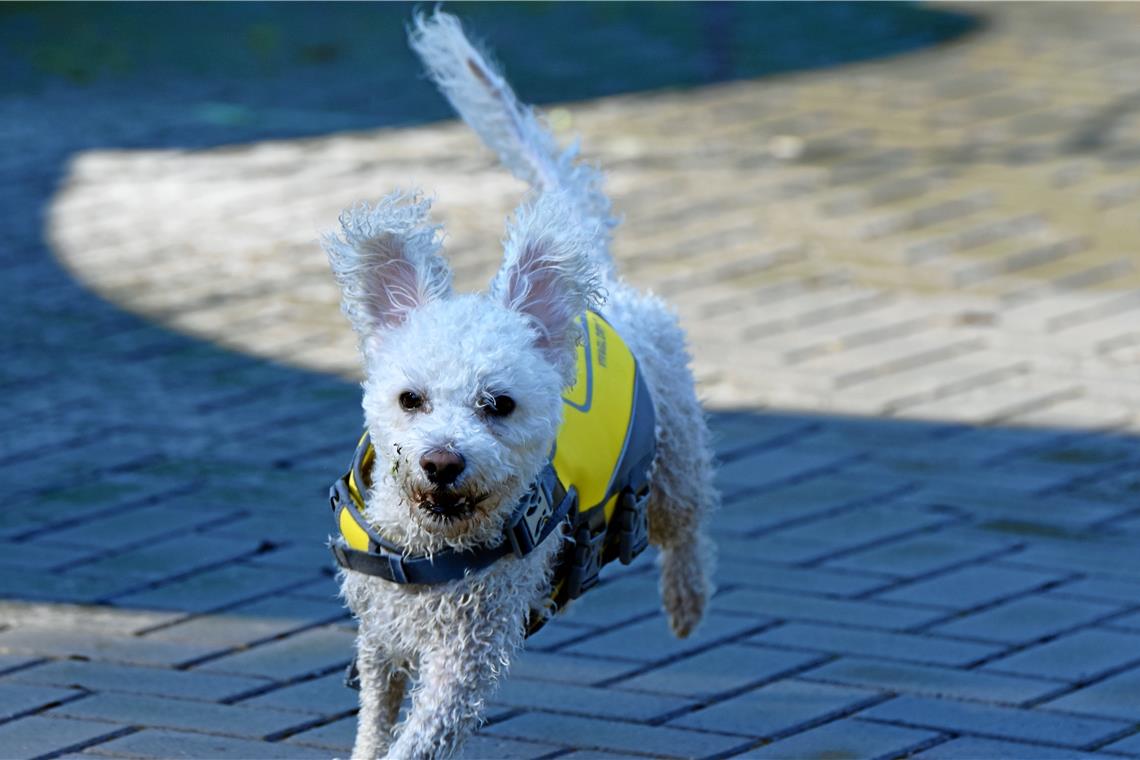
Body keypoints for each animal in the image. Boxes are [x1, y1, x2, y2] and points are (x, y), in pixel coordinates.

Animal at [323, 11, 711, 760]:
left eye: (497, 406)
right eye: (410, 399)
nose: (442, 461)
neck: (430, 550)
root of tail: (606, 287)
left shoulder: (466, 655)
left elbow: (417, 735)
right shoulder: (381, 633)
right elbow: (377, 716)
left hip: (676, 459)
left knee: (689, 526)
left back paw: (687, 601)